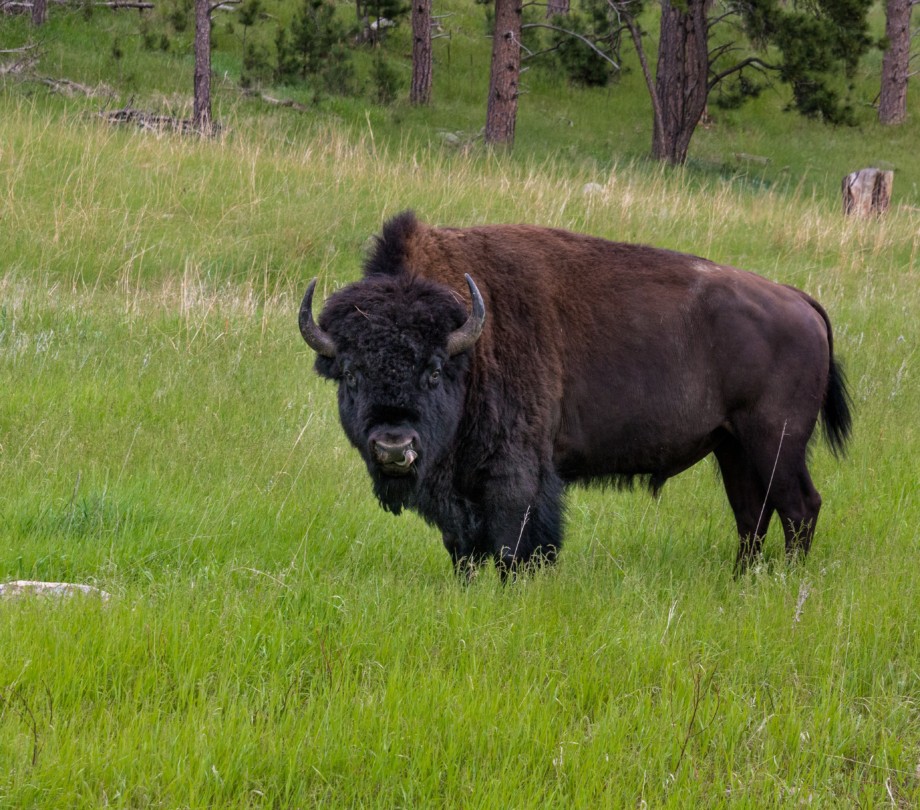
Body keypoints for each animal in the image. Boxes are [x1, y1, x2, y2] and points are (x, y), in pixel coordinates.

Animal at [298, 211, 852, 576]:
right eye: (350, 373)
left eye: (433, 371)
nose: (393, 446)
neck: (470, 343)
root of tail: (799, 300)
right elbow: (463, 549)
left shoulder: (516, 474)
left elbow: (514, 543)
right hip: (732, 446)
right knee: (751, 515)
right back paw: (741, 581)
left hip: (776, 442)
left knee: (799, 508)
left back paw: (786, 582)